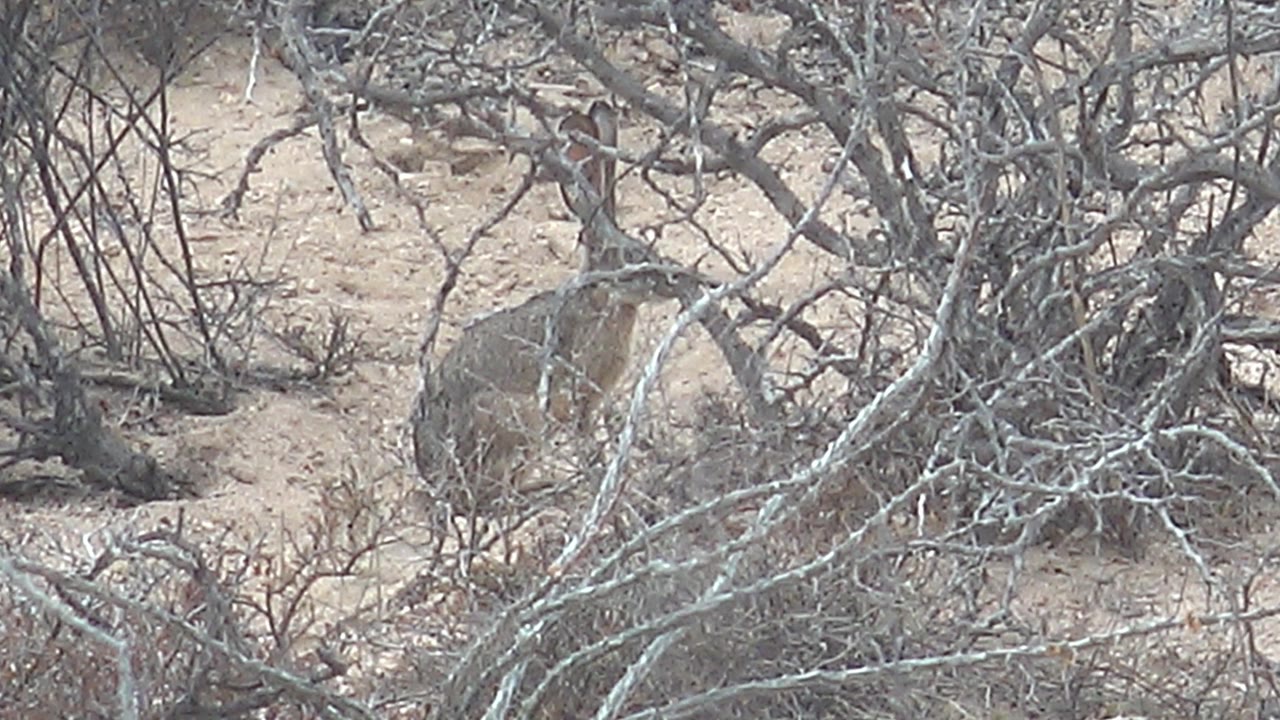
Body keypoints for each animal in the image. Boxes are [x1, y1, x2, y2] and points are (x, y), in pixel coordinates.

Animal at [412, 101, 665, 513]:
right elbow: (585, 440)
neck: (599, 298)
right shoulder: (577, 395)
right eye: (630, 257)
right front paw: (597, 476)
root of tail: (435, 479)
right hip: (519, 422)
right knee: (492, 497)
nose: (669, 281)